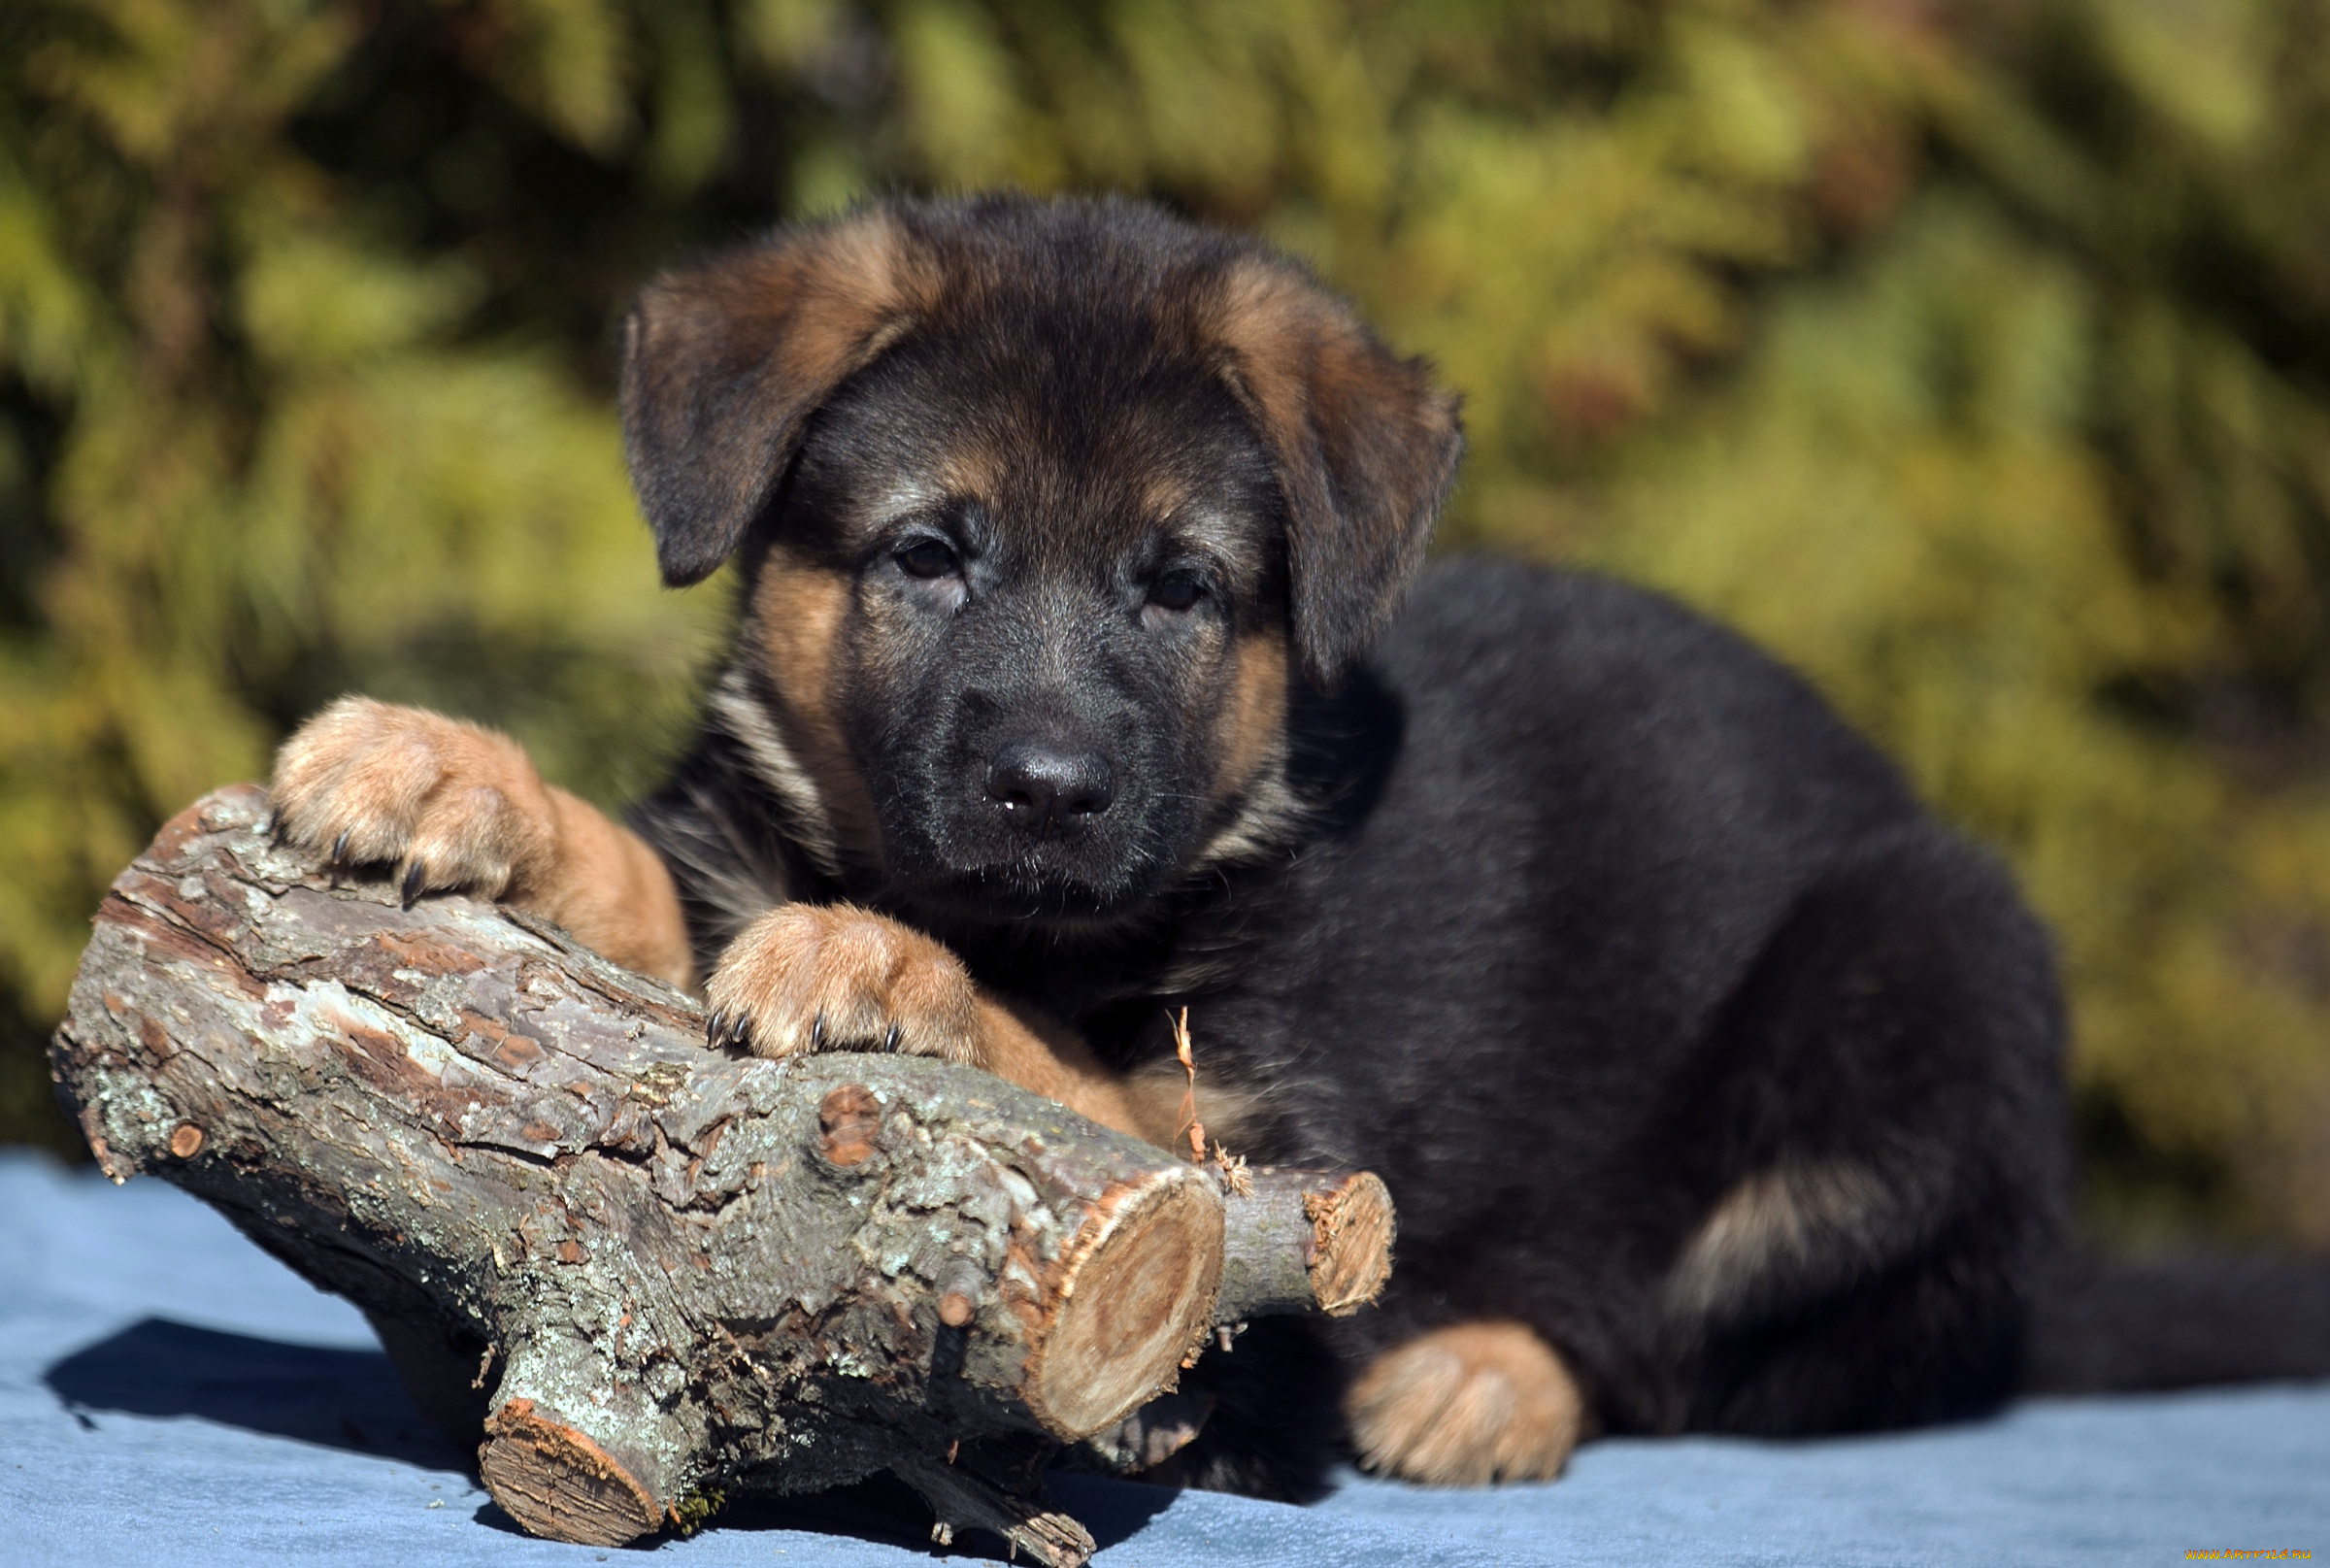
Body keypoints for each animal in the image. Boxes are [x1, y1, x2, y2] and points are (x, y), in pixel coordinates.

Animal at [272, 191, 2078, 1490]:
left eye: (1182, 586)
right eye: (928, 554)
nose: (1051, 786)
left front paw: (885, 962)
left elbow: (1063, 1071)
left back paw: (1485, 1382)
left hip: (1925, 989)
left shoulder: (1270, 1152)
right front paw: (451, 769)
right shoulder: (731, 853)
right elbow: (648, 884)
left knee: (1729, 1353)